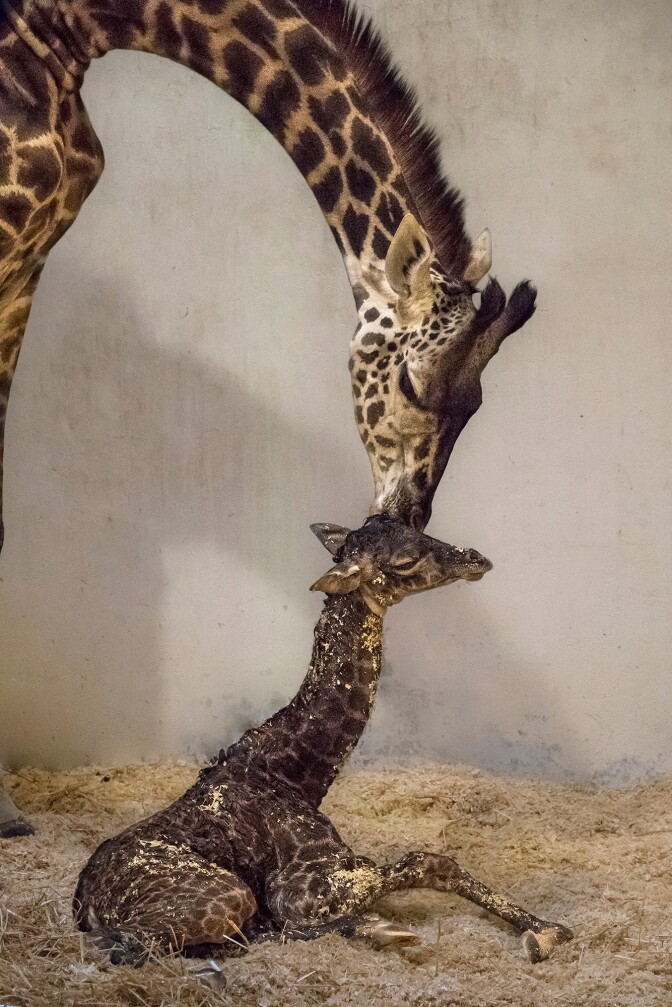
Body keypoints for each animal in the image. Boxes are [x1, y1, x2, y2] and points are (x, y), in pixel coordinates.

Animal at [74, 515, 572, 966]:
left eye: (419, 528)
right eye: (405, 561)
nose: (475, 558)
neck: (294, 776)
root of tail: (85, 906)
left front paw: (548, 930)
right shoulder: (296, 887)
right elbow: (429, 860)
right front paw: (543, 933)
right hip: (227, 894)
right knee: (127, 947)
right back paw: (383, 931)